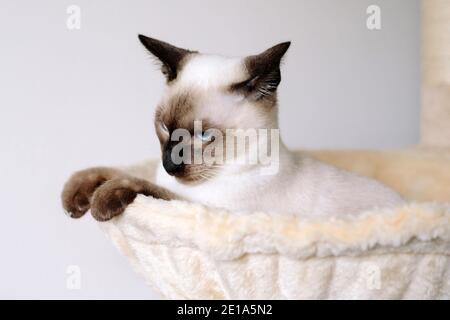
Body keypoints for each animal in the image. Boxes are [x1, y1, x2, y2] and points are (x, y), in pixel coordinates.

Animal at [61, 34, 402, 220]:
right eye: (164, 127)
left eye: (204, 135)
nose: (169, 165)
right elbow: (107, 170)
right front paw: (74, 198)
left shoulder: (202, 209)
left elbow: (141, 184)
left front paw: (100, 201)